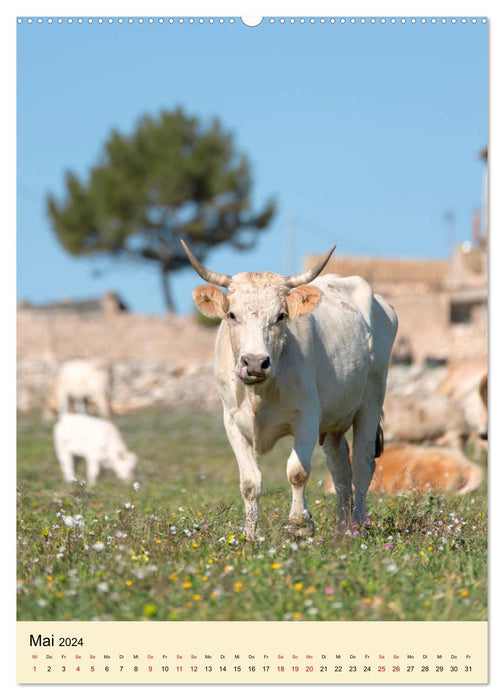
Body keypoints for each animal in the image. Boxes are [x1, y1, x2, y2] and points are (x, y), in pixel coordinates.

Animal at [181, 238, 398, 540]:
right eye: (232, 314)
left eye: (281, 315)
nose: (255, 362)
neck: (259, 393)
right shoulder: (232, 421)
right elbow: (250, 482)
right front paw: (251, 533)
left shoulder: (307, 416)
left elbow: (297, 472)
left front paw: (299, 525)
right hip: (334, 421)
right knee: (341, 469)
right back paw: (342, 528)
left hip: (370, 402)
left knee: (362, 466)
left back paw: (357, 524)